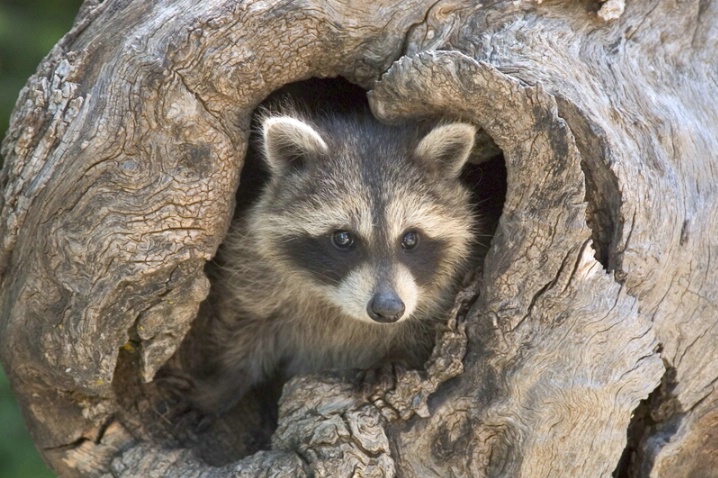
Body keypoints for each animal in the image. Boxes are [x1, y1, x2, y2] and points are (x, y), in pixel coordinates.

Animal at [188, 103, 480, 414]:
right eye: (343, 238)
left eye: (410, 239)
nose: (388, 309)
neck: (336, 305)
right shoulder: (253, 270)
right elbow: (240, 327)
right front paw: (220, 386)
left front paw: (394, 356)